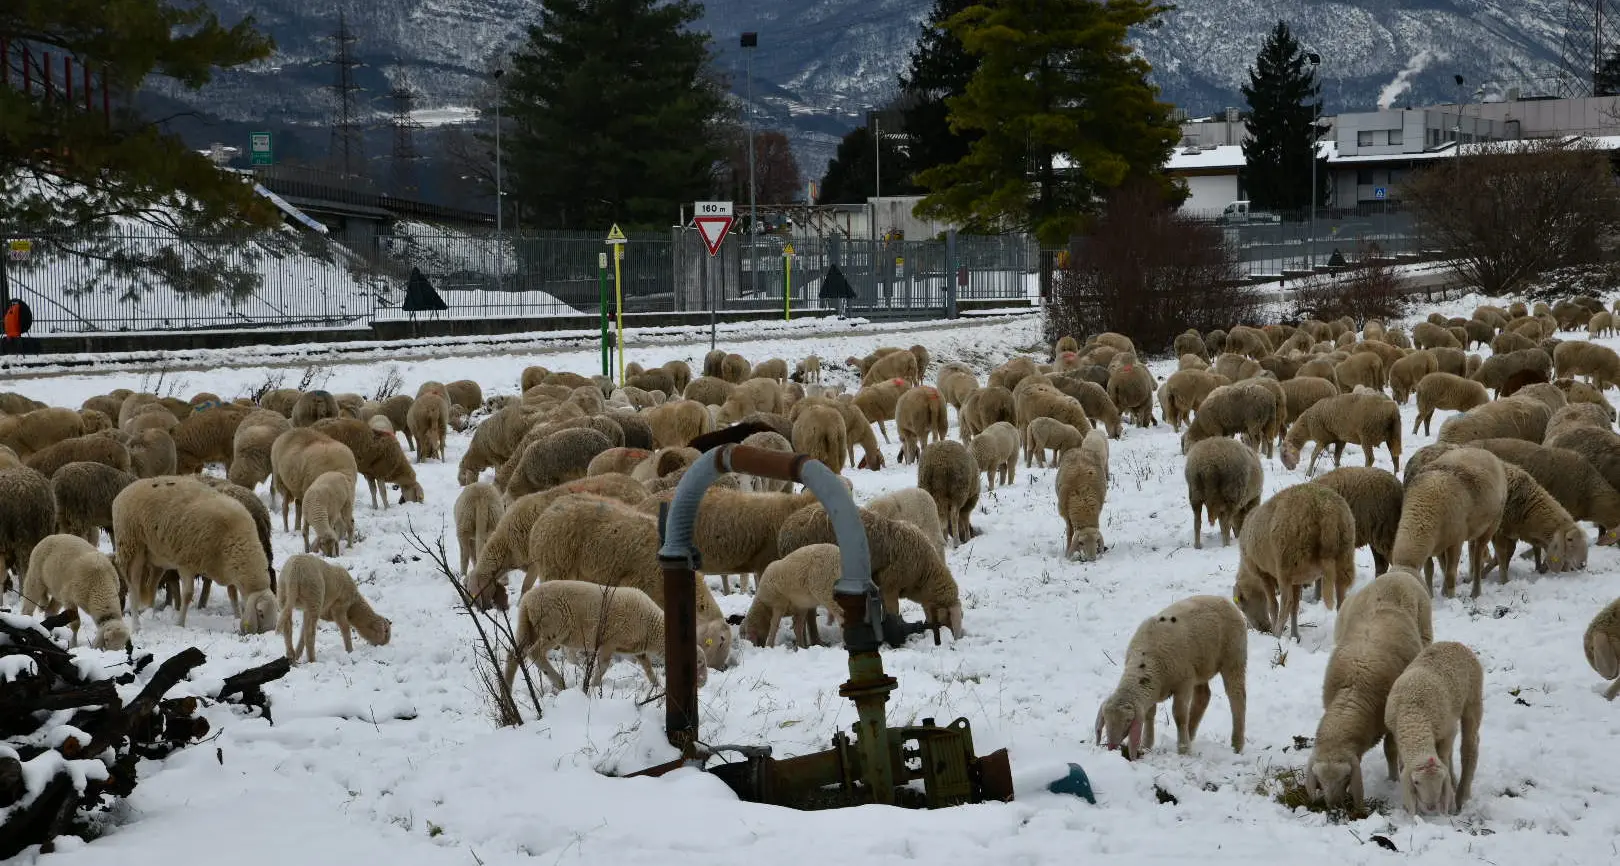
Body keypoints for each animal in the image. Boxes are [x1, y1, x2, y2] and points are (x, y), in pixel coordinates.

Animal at [112, 477, 277, 633]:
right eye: (261, 614)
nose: (264, 633)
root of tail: (122, 494)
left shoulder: (227, 566)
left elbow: (232, 594)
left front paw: (237, 617)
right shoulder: (186, 563)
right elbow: (187, 595)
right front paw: (179, 624)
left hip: (156, 558)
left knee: (150, 586)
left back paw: (150, 616)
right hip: (131, 547)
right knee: (133, 589)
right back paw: (136, 626)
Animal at [1094, 595, 1247, 760]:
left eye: (1128, 721)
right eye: (1106, 719)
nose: (1111, 746)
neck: (1148, 660)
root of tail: (1223, 599)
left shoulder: (1184, 684)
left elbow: (1179, 716)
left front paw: (1183, 750)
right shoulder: (1154, 688)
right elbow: (1149, 715)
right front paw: (1147, 744)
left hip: (1234, 657)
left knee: (1237, 696)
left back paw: (1236, 745)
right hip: (1200, 667)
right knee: (1204, 696)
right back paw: (1190, 733)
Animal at [1384, 642, 1483, 816]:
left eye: (1440, 781)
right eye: (1416, 782)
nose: (1431, 807)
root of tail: (1455, 643)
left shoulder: (1448, 732)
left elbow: (1444, 759)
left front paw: (1449, 802)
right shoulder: (1398, 734)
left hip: (1473, 699)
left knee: (1469, 746)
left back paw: (1462, 795)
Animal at [1391, 447, 1508, 598]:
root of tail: (1485, 452)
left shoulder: (1456, 542)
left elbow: (1450, 575)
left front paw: (1451, 598)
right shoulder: (1431, 543)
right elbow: (1429, 570)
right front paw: (1432, 595)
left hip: (1492, 524)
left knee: (1477, 558)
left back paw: (1475, 592)